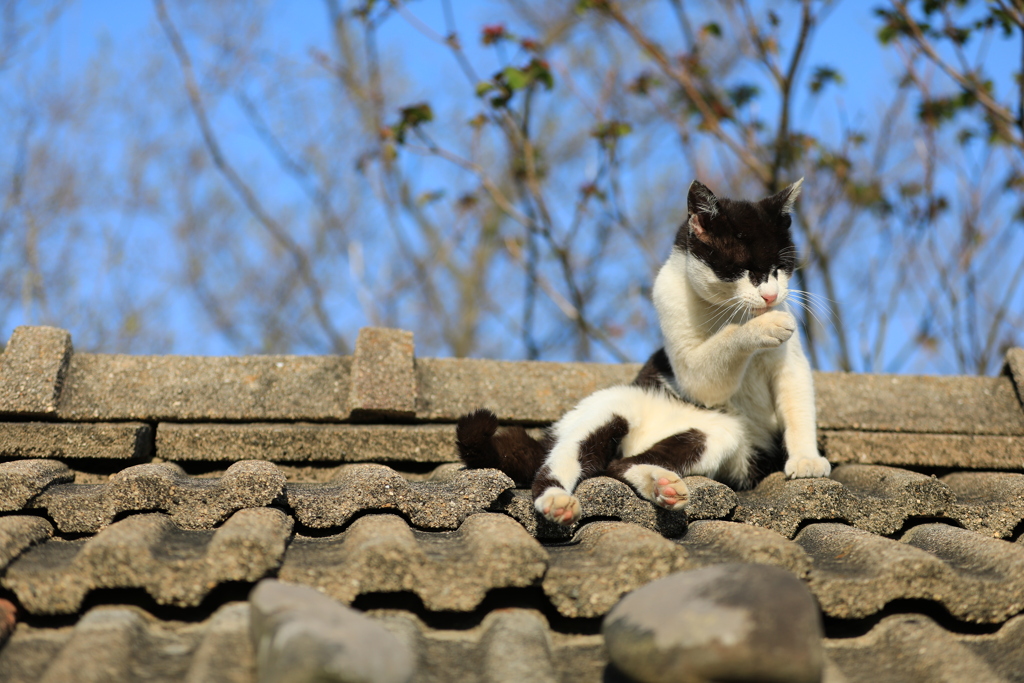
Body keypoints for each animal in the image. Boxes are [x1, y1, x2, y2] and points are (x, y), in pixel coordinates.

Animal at [456, 179, 831, 528]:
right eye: (743, 269)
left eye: (780, 267)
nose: (770, 296)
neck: (724, 311)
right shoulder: (689, 364)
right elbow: (713, 362)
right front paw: (764, 326)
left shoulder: (790, 365)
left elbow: (798, 403)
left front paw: (805, 459)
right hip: (608, 411)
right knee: (567, 461)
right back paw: (557, 502)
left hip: (721, 437)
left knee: (620, 465)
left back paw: (664, 486)